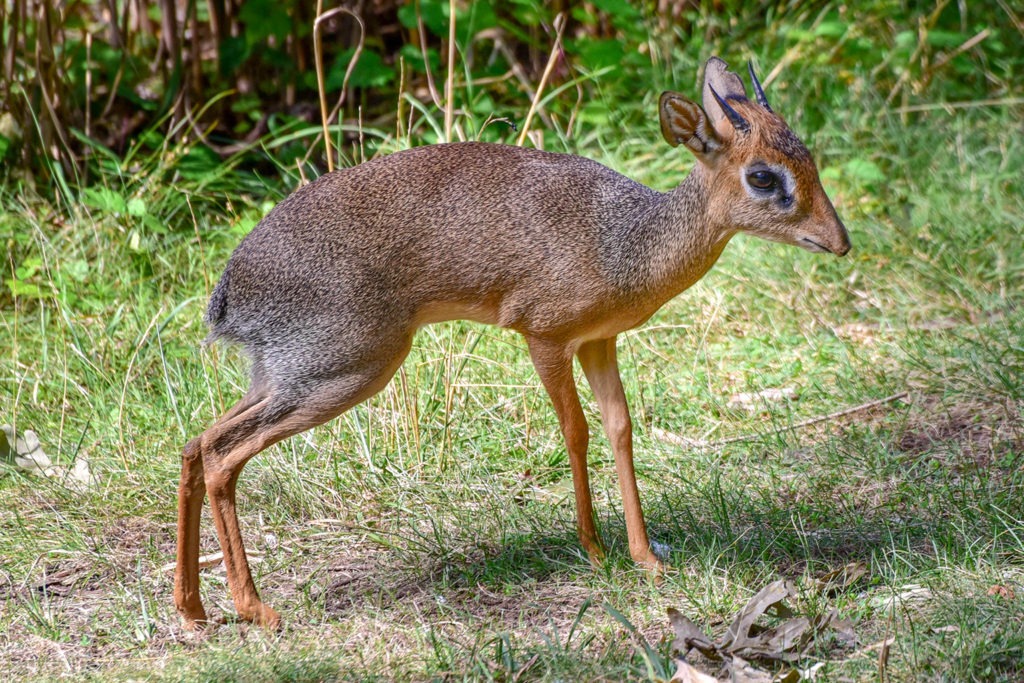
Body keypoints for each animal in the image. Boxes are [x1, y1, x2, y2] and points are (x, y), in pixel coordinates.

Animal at [174, 58, 847, 630]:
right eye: (762, 176)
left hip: (281, 375)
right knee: (223, 454)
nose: (840, 240)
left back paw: (194, 608)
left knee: (195, 443)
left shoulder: (600, 341)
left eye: (807, 157)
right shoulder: (544, 336)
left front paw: (647, 559)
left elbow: (620, 427)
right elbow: (575, 431)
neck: (625, 244)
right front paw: (594, 548)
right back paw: (257, 610)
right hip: (344, 370)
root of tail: (228, 292)